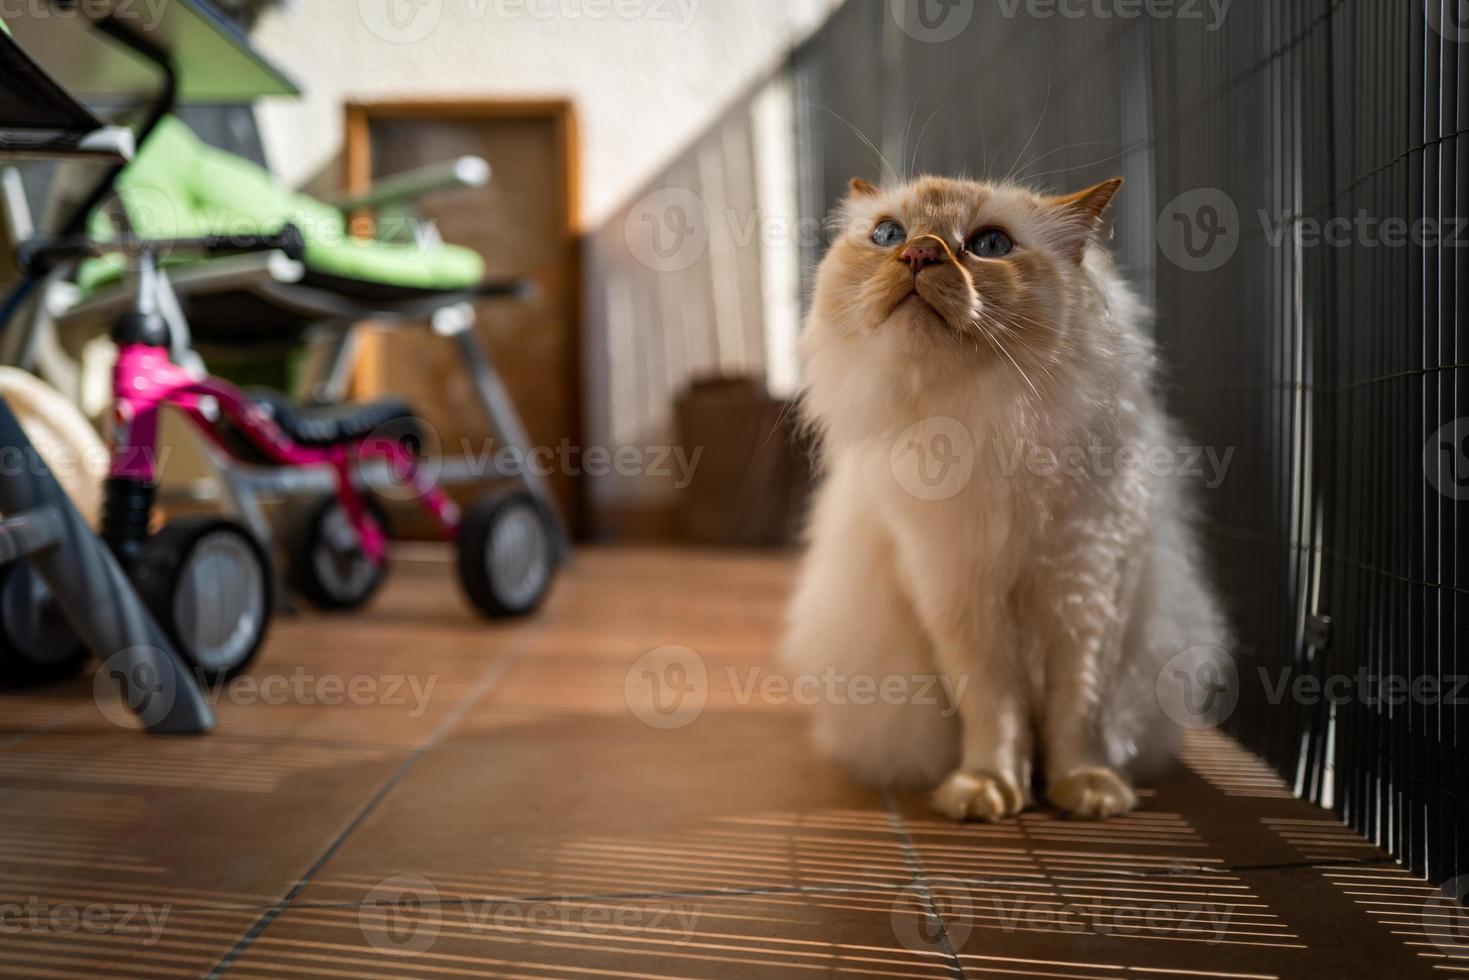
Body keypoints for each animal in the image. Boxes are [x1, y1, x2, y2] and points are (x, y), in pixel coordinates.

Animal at [781, 174, 1228, 822]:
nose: (919, 253)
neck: (986, 423)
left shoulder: (1085, 588)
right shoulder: (958, 594)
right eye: (888, 234)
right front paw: (987, 787)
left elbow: (1076, 712)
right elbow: (996, 712)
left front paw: (1084, 787)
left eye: (989, 245)